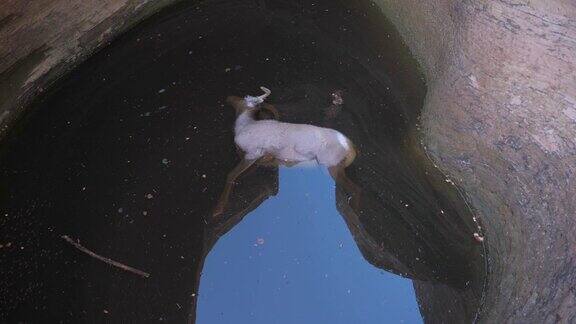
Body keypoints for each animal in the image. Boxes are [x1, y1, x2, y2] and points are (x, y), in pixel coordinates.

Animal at [213, 87, 360, 216]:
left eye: (246, 99)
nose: (228, 98)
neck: (244, 126)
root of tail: (350, 146)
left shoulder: (253, 153)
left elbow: (231, 175)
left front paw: (218, 209)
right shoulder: (259, 159)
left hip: (332, 165)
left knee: (354, 189)